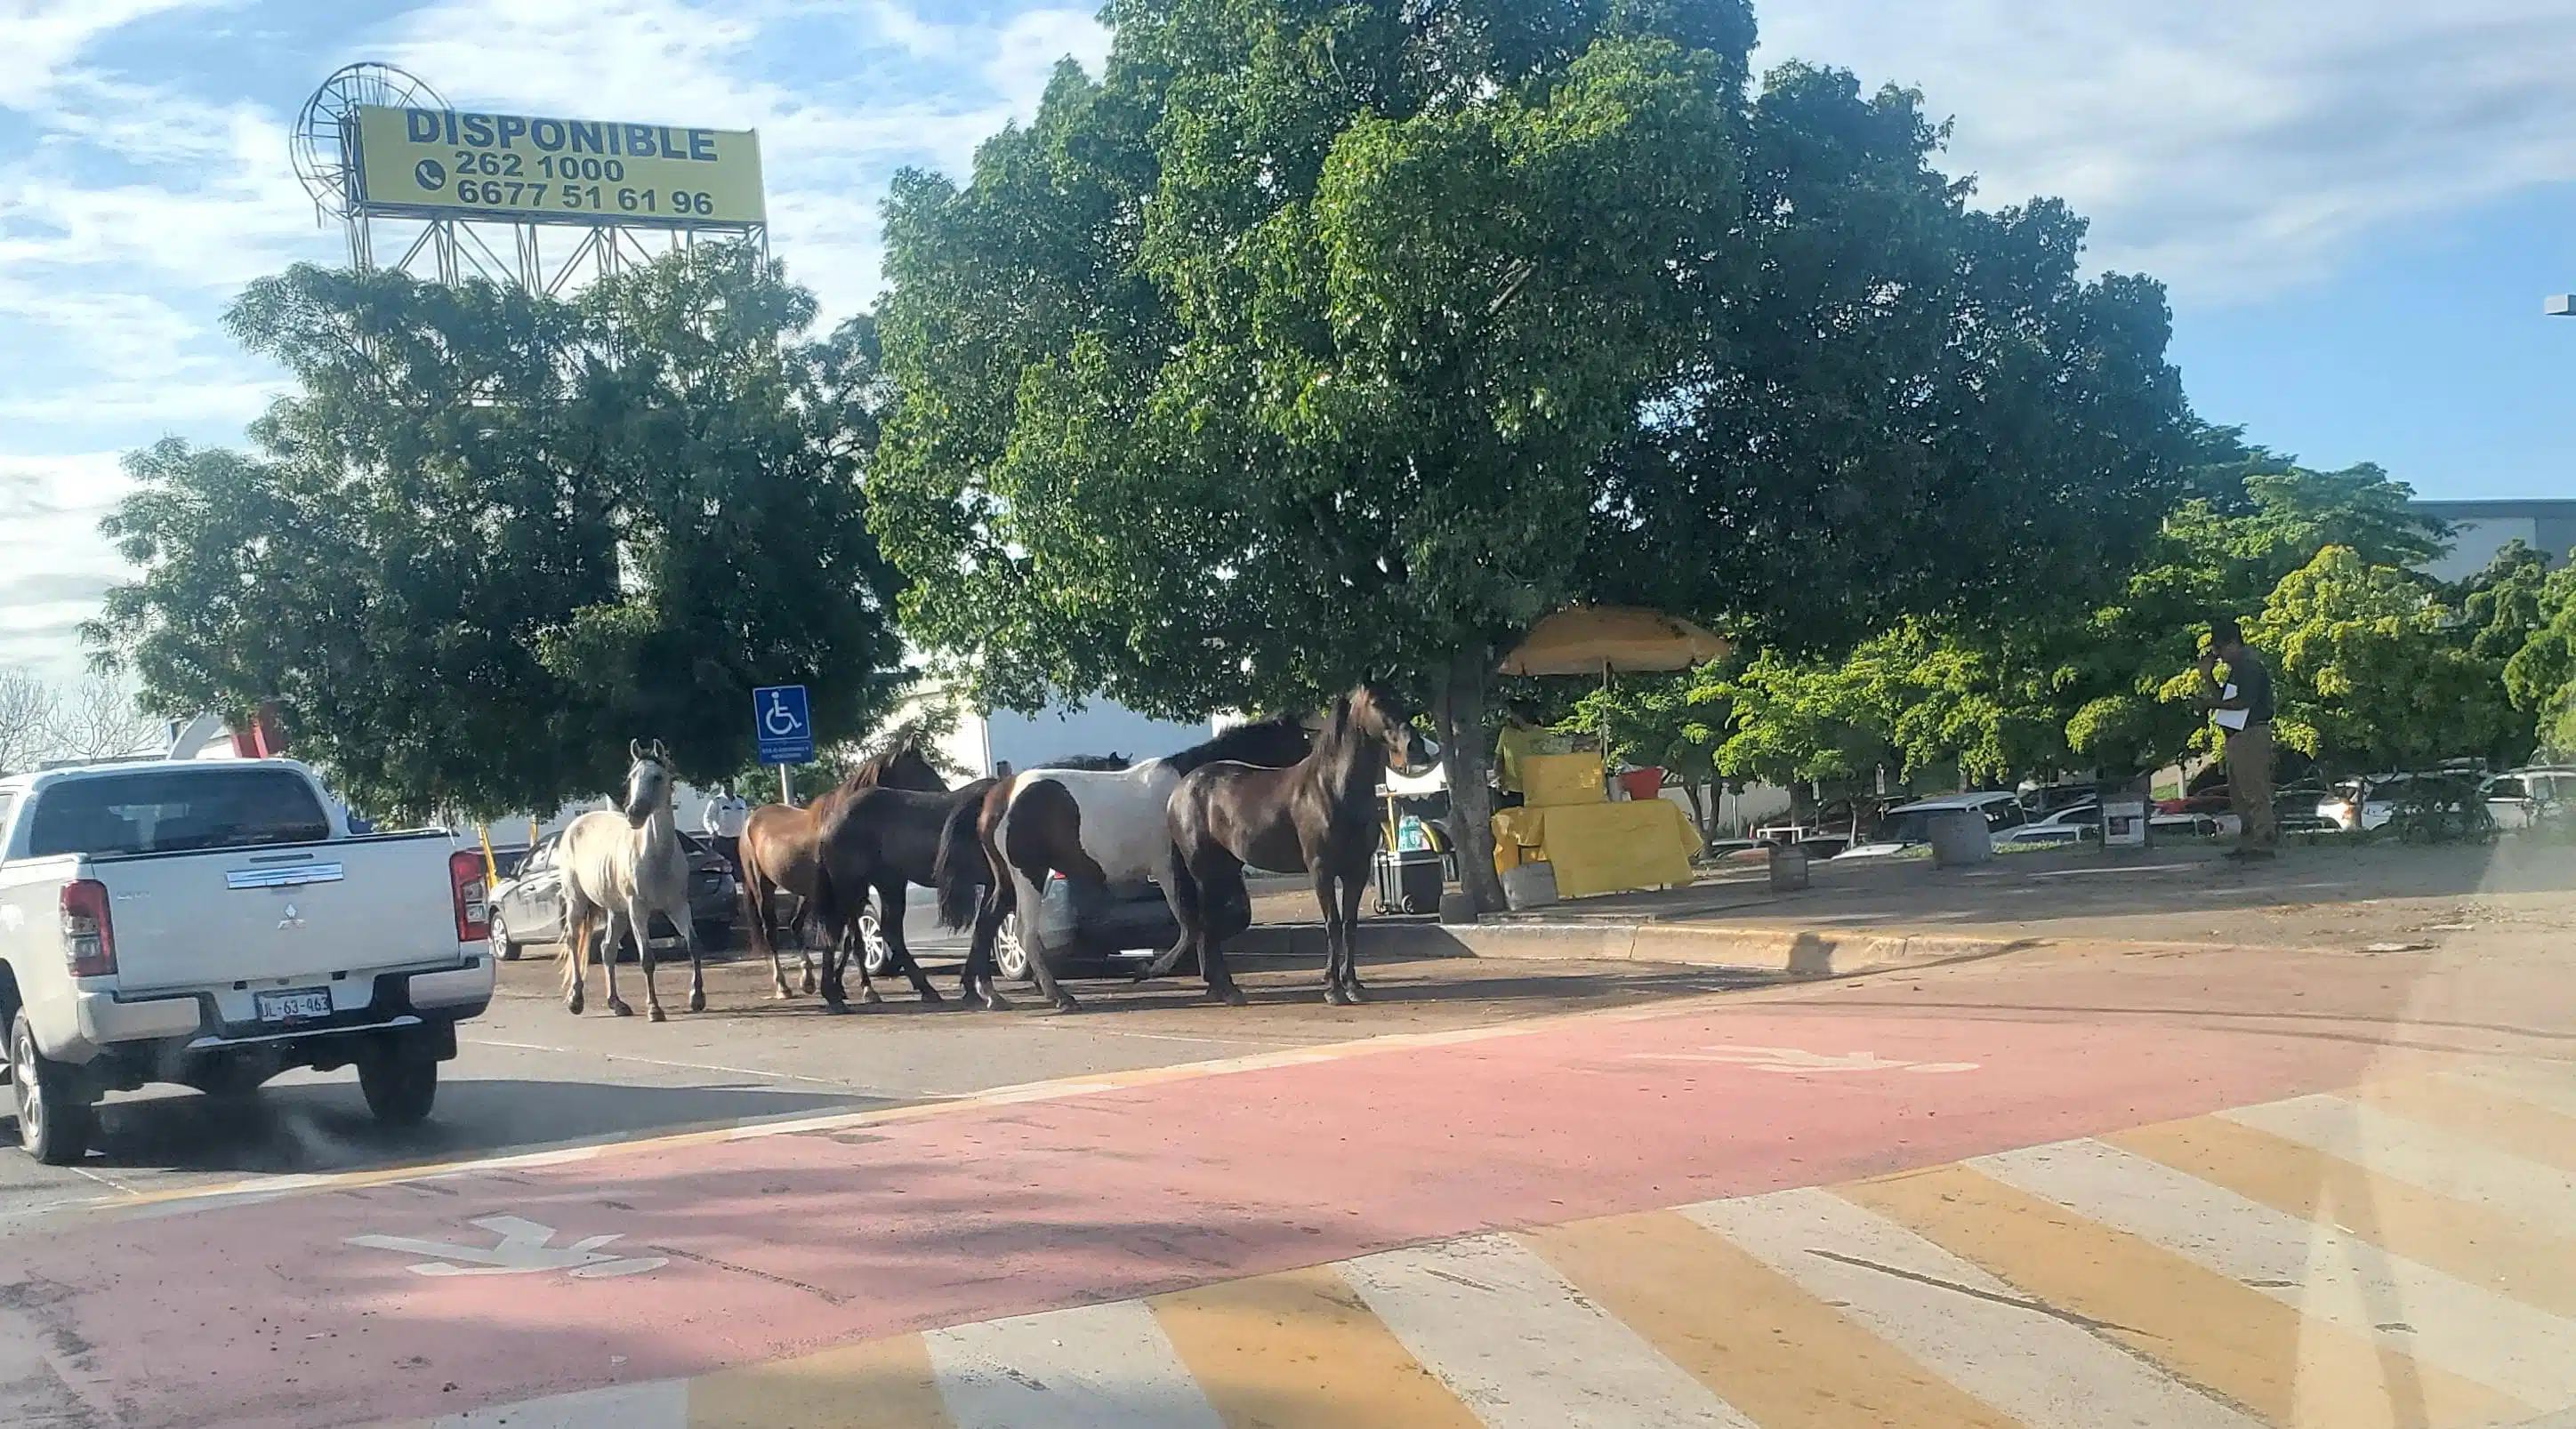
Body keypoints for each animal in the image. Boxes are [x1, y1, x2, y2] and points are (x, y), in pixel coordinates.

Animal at [561, 741, 705, 1024]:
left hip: (616, 911)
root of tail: (576, 824)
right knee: (573, 940)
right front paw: (654, 1009)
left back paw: (616, 1003)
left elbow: (694, 945)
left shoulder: (678, 906)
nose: (634, 814)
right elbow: (647, 959)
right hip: (577, 901)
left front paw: (697, 998)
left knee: (607, 949)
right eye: (632, 778)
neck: (656, 856)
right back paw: (576, 1000)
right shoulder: (638, 910)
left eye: (657, 776)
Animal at [737, 731, 947, 999]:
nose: (945, 795)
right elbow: (855, 939)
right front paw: (865, 988)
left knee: (795, 925)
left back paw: (808, 979)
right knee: (771, 932)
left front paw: (846, 985)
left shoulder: (856, 892)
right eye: (920, 771)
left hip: (808, 894)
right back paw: (783, 986)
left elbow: (849, 941)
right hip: (762, 887)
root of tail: (750, 821)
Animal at [1163, 685, 1442, 1004]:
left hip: (1224, 871)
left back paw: (1221, 987)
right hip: (1205, 873)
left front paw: (1353, 985)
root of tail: (1180, 790)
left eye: (1397, 698)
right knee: (1207, 924)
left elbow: (1350, 925)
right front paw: (1333, 989)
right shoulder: (1321, 871)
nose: (1414, 746)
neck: (1331, 789)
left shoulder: (1356, 872)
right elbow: (1332, 924)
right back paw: (1227, 990)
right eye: (1375, 702)